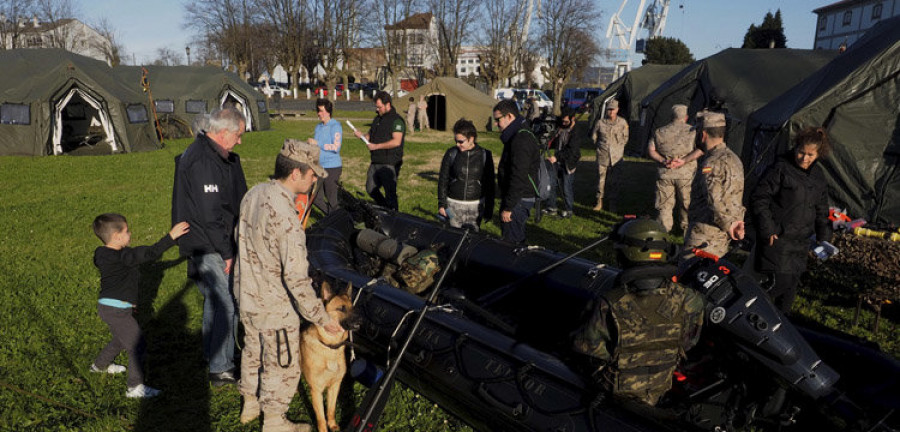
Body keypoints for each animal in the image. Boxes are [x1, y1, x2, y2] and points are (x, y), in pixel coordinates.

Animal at [302, 280, 358, 432]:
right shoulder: (316, 391)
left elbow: (331, 410)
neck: (329, 347)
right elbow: (321, 417)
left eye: (353, 308)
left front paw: (332, 425)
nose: (360, 321)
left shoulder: (335, 386)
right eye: (341, 309)